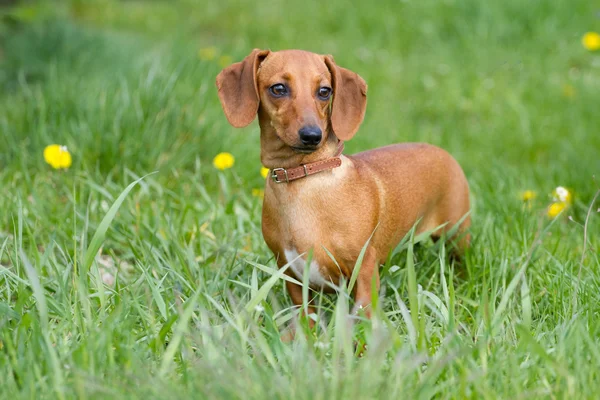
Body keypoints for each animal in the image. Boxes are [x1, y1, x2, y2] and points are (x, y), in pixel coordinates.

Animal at [218, 48, 472, 326]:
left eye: (324, 91)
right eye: (278, 88)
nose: (312, 136)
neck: (304, 181)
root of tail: (442, 152)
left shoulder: (364, 268)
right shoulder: (291, 274)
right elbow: (306, 318)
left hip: (457, 237)